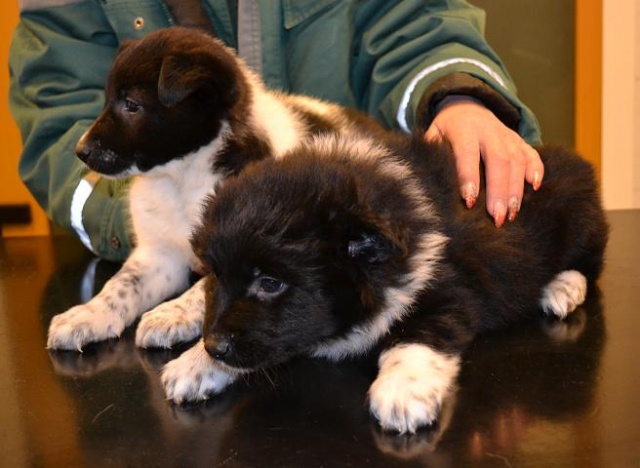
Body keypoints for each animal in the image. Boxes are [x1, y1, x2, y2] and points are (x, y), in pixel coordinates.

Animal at [46, 27, 385, 351]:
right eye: (107, 100)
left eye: (132, 105)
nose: (80, 151)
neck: (181, 178)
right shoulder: (159, 253)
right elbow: (121, 285)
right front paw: (87, 315)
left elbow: (206, 288)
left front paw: (172, 314)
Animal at [161, 133, 608, 434]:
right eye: (215, 274)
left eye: (270, 283)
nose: (215, 346)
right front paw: (194, 362)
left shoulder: (449, 290)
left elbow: (416, 336)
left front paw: (403, 392)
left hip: (580, 221)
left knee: (588, 265)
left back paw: (561, 288)